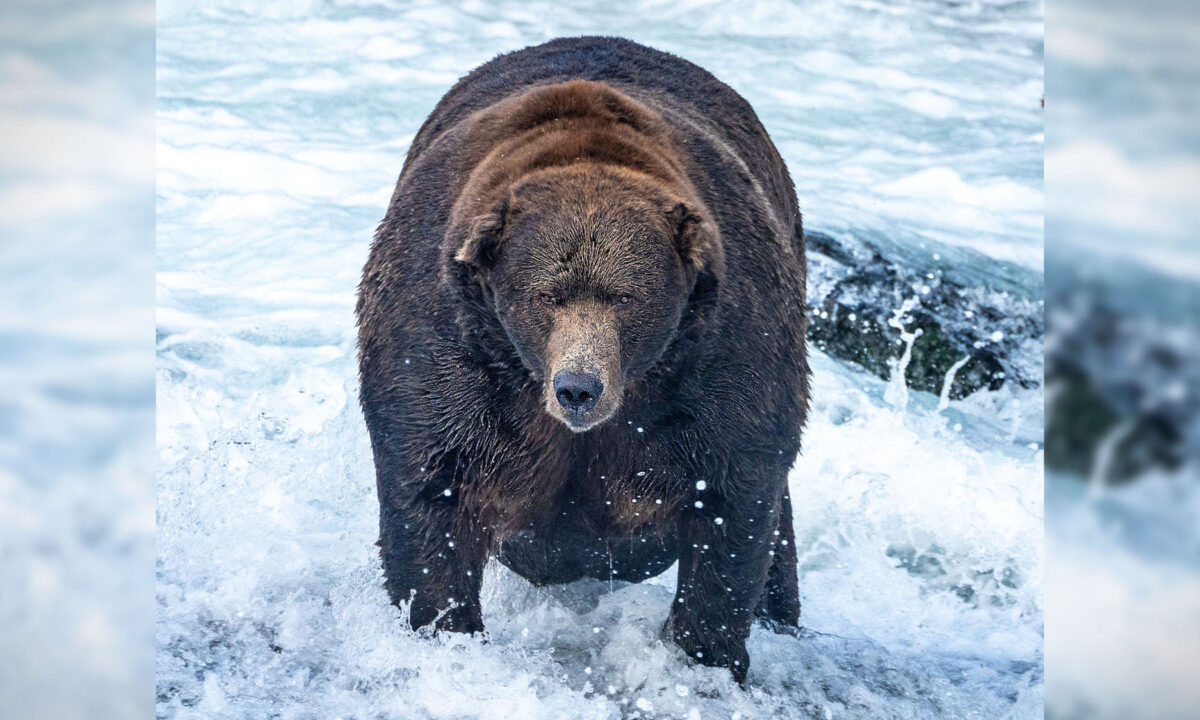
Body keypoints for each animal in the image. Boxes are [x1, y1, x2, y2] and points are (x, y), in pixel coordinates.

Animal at [357, 36, 809, 683]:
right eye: (546, 294)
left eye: (626, 297)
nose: (578, 387)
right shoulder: (448, 340)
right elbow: (432, 487)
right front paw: (445, 626)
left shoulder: (722, 351)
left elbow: (732, 501)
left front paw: (706, 654)